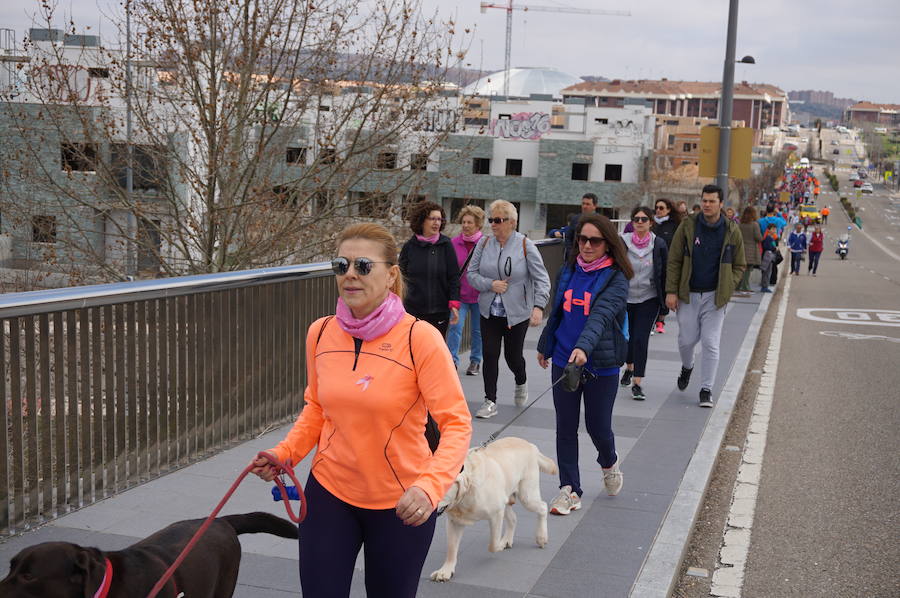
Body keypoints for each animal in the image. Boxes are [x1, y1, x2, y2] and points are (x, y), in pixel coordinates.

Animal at [428, 438, 556, 584]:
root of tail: (531, 445)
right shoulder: (454, 522)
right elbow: (451, 548)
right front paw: (445, 571)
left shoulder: (496, 513)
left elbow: (493, 544)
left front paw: (499, 545)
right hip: (507, 497)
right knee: (513, 518)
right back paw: (507, 539)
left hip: (527, 496)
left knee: (542, 507)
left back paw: (541, 537)